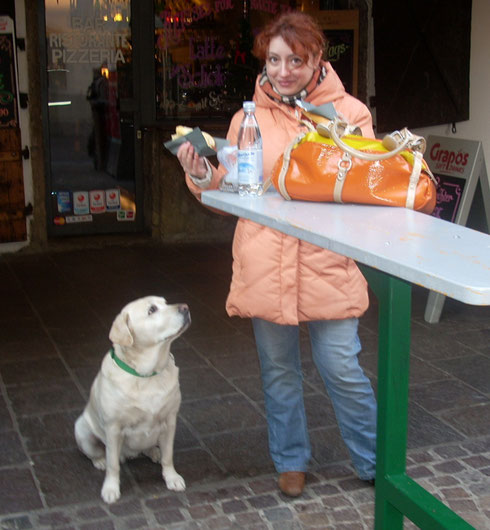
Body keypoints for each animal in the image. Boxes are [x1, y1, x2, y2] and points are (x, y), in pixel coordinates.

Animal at [74, 294, 189, 502]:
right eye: (152, 310)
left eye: (165, 302)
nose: (185, 307)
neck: (147, 374)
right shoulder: (113, 428)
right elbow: (113, 465)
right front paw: (110, 488)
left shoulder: (170, 421)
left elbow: (168, 456)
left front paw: (172, 478)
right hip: (82, 430)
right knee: (99, 454)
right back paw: (100, 461)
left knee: (150, 448)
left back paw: (154, 452)